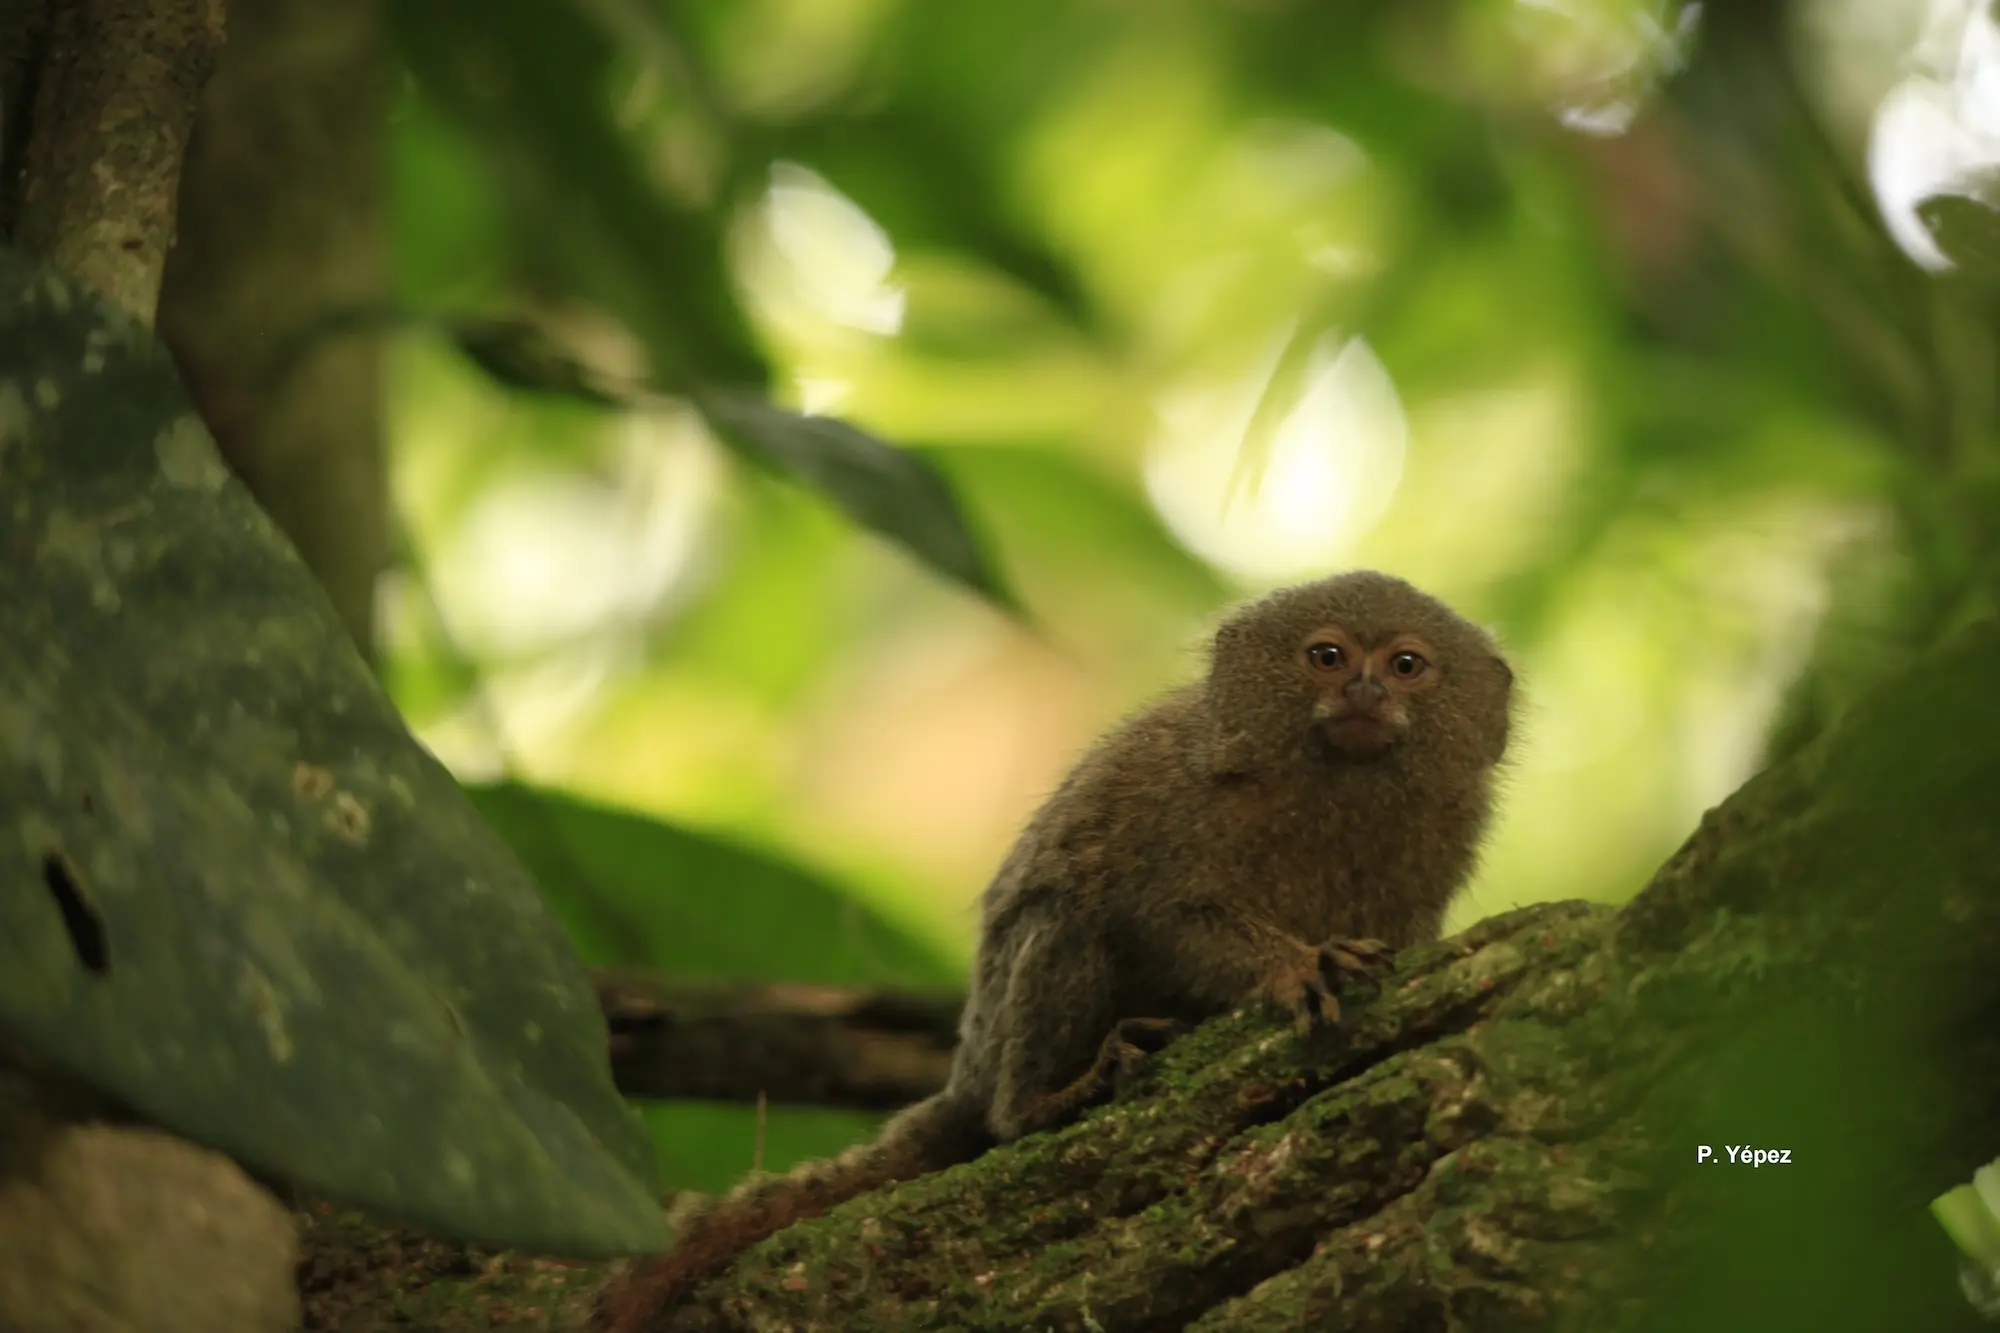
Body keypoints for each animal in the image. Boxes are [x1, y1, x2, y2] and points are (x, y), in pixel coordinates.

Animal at [596, 569, 1514, 1331]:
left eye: (1406, 665)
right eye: (1326, 656)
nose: (1363, 688)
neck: (1337, 792)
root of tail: (966, 1075)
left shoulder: (1438, 848)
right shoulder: (1178, 800)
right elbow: (1169, 917)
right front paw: (1293, 965)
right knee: (1061, 933)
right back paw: (1051, 1098)